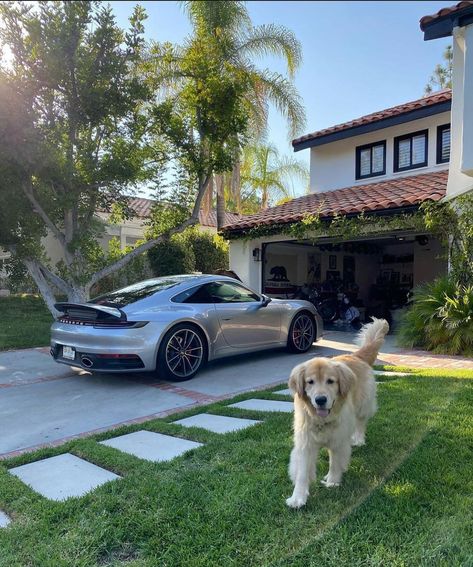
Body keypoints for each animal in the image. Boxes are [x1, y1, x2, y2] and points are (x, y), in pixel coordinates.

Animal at [284, 318, 388, 508]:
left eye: (330, 381)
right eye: (310, 382)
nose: (320, 400)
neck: (321, 420)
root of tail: (356, 355)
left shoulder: (338, 440)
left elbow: (335, 461)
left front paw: (332, 481)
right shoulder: (305, 443)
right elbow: (302, 472)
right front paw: (298, 497)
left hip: (363, 405)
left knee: (361, 422)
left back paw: (358, 439)